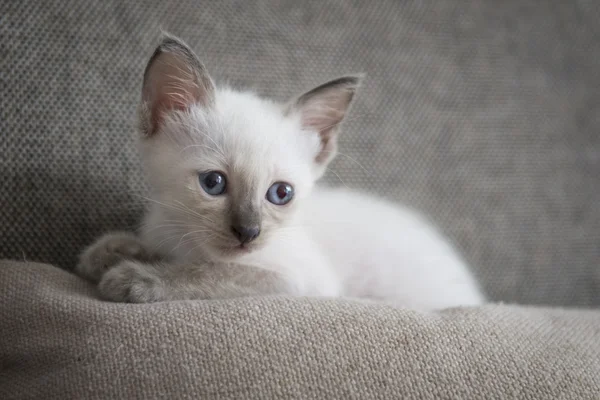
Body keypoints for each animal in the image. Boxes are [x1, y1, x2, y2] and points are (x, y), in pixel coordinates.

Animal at [76, 35, 488, 310]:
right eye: (213, 183)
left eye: (280, 193)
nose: (248, 232)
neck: (186, 239)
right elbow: (161, 251)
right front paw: (108, 252)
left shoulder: (298, 278)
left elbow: (211, 273)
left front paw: (134, 277)